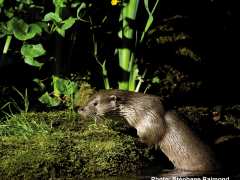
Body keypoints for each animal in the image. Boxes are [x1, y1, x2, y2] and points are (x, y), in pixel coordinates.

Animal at [78, 89, 220, 172]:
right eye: (88, 99)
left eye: (95, 103)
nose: (80, 109)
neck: (138, 109)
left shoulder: (150, 119)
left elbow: (149, 140)